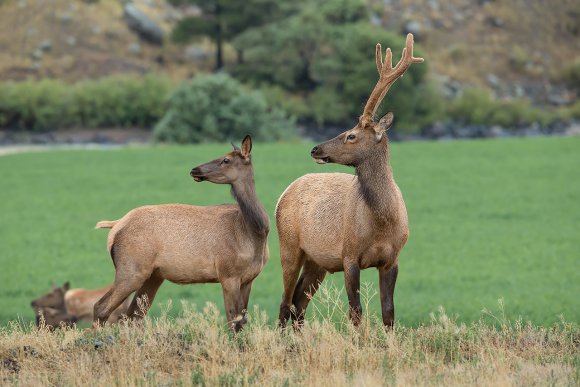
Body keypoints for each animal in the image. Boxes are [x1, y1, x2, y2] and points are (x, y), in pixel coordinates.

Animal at [93, 136, 270, 330]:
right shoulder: (228, 273)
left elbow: (242, 321)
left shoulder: (248, 279)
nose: (195, 170)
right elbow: (233, 319)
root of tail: (116, 225)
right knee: (101, 307)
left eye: (226, 159)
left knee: (133, 316)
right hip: (131, 268)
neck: (254, 234)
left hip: (153, 275)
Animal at [276, 34, 422, 328]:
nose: (315, 149)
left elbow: (388, 312)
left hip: (317, 260)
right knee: (285, 304)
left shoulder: (392, 259)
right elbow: (356, 311)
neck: (381, 222)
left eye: (351, 135)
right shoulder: (349, 255)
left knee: (298, 303)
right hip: (288, 246)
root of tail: (282, 195)